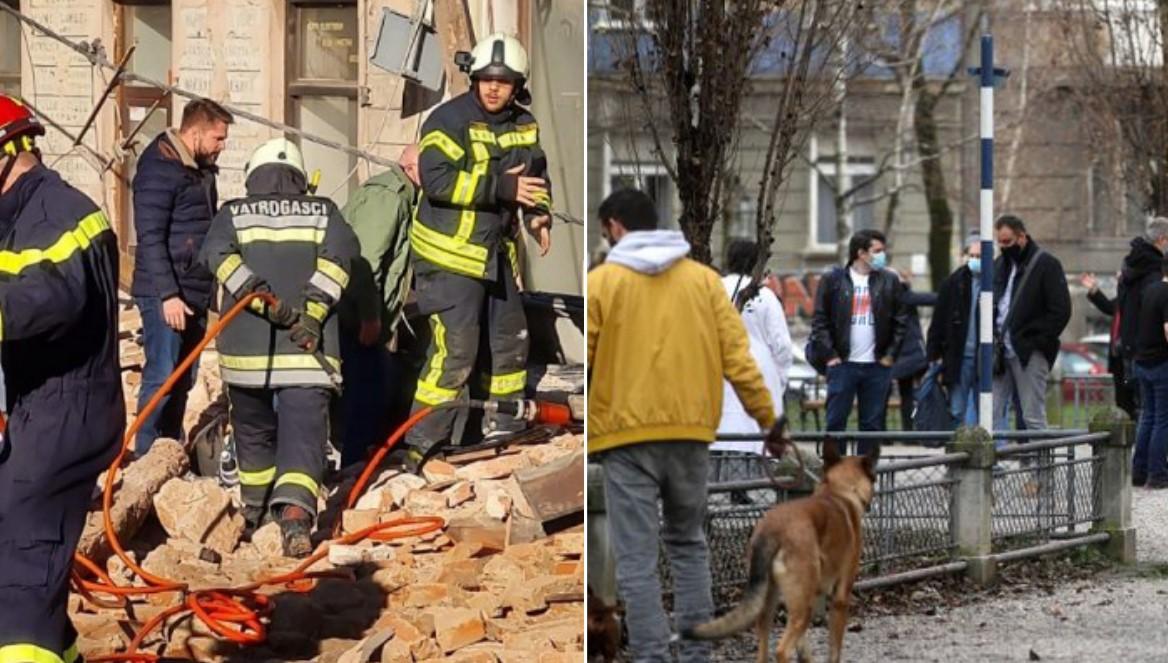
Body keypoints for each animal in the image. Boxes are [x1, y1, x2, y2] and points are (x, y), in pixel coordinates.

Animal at [682, 436, 878, 658]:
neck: (840, 492)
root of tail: (773, 529)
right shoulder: (840, 599)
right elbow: (834, 650)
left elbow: (803, 645)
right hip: (802, 607)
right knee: (782, 650)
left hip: (770, 602)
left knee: (763, 642)